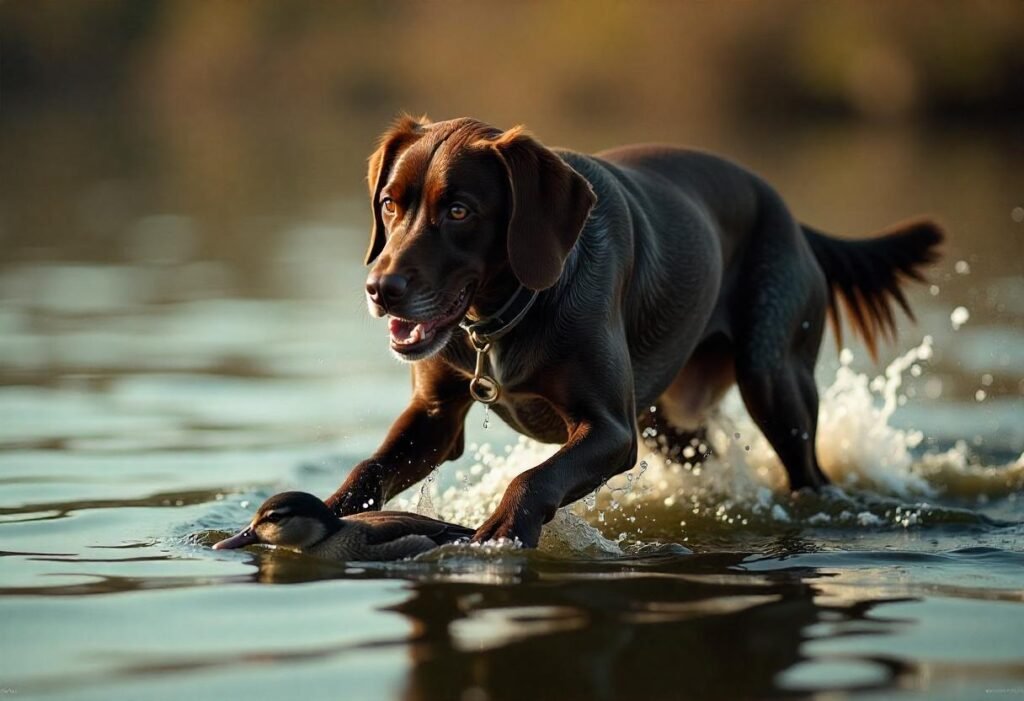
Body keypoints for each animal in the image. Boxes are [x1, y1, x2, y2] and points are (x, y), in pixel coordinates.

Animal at [323, 114, 937, 544]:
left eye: (459, 211)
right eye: (389, 204)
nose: (380, 288)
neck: (502, 320)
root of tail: (792, 218)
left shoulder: (613, 431)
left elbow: (534, 478)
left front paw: (502, 528)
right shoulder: (436, 418)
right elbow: (369, 468)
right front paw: (320, 514)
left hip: (774, 381)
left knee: (809, 470)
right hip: (667, 420)